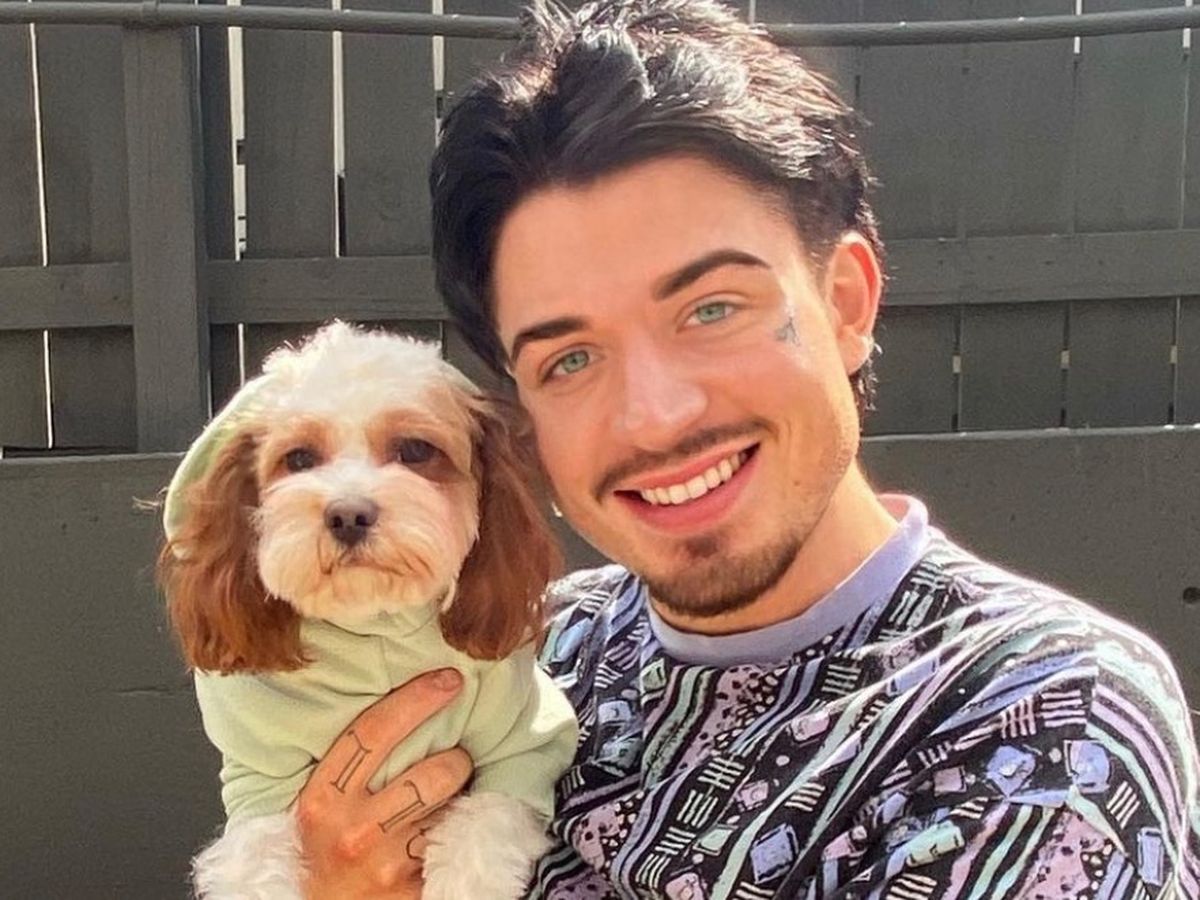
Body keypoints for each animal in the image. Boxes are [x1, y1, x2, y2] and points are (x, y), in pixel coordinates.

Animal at [158, 322, 577, 899]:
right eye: (299, 459)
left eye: (415, 451)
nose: (348, 513)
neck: (376, 627)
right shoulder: (258, 781)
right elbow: (257, 866)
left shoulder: (519, 756)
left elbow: (477, 845)